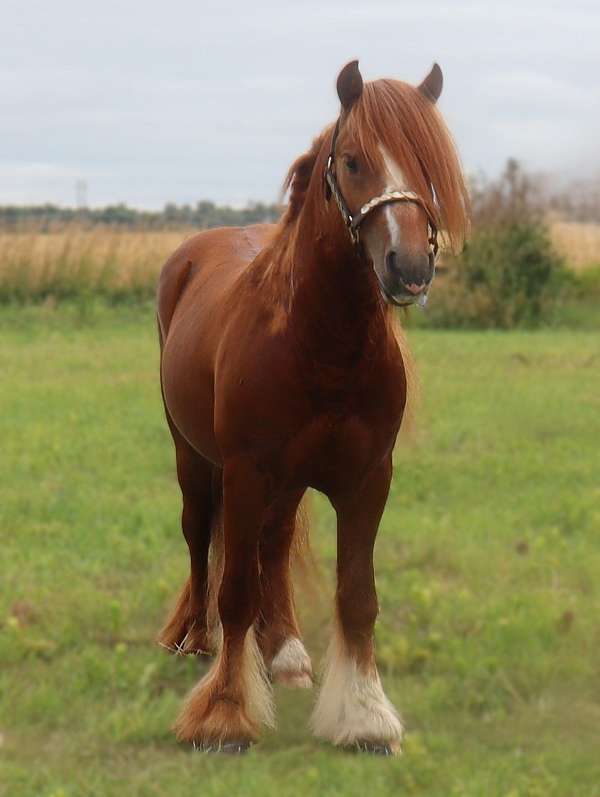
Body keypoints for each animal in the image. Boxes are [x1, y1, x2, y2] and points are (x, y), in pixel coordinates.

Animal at [156, 60, 468, 752]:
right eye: (352, 161)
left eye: (429, 164)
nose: (409, 266)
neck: (321, 344)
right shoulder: (246, 471)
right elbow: (235, 589)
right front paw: (224, 713)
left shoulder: (369, 479)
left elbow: (357, 594)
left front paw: (365, 716)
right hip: (193, 455)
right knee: (198, 537)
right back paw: (195, 639)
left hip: (288, 481)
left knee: (271, 546)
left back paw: (286, 655)